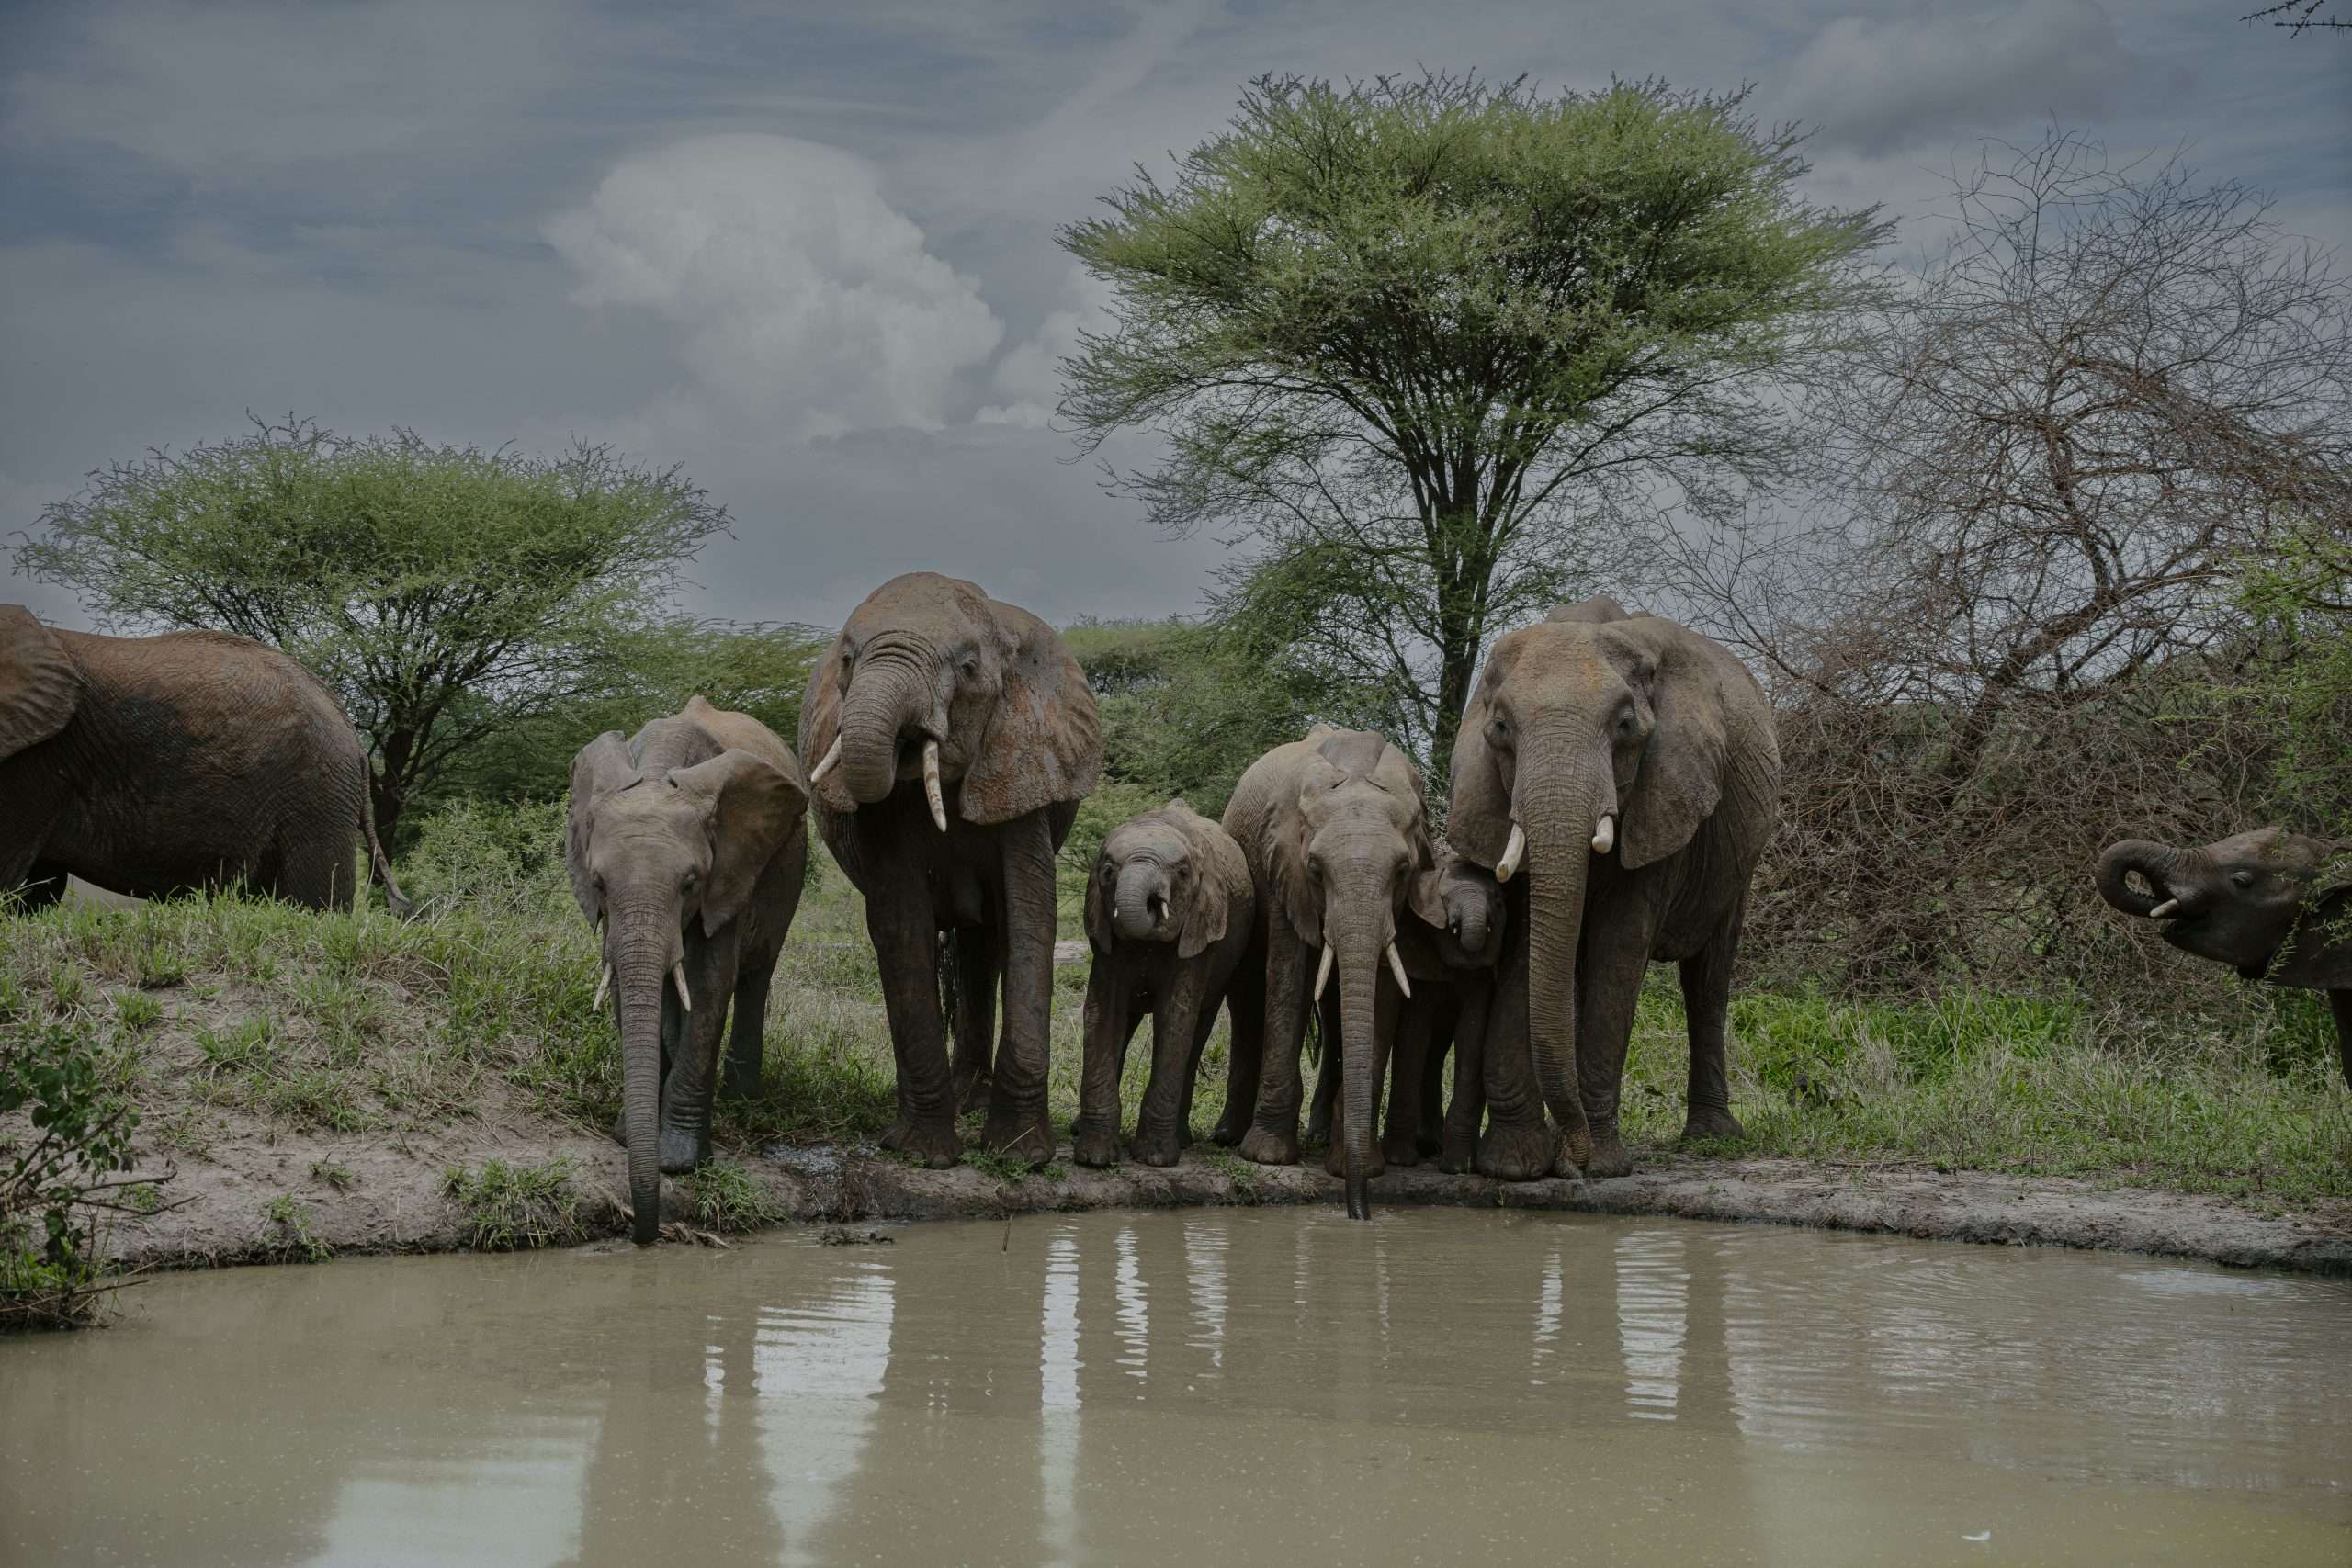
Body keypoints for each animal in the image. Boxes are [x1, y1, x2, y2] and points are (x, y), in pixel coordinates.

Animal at [567, 695, 810, 1244]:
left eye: (690, 883)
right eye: (598, 882)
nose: (645, 1232)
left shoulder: (731, 871)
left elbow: (709, 983)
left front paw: (677, 1161)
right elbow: (627, 984)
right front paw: (630, 1137)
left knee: (756, 975)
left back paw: (742, 1096)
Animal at [799, 572, 1100, 1168]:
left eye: (967, 667)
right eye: (847, 660)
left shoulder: (1023, 761)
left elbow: (1031, 918)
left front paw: (1020, 1156)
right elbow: (901, 922)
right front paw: (925, 1155)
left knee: (985, 945)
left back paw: (973, 1102)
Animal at [1070, 800, 1256, 1168]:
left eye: (1183, 873)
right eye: (1108, 870)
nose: (1153, 904)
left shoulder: (1200, 933)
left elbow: (1175, 1018)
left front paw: (1155, 1159)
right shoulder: (1105, 939)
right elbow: (1103, 1013)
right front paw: (1094, 1158)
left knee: (1197, 1031)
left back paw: (1181, 1141)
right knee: (1127, 1024)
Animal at [1216, 725, 1447, 1218]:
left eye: (1402, 871)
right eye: (1317, 872)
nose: (1358, 1213)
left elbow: (1381, 992)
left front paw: (1359, 1167)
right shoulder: (1283, 869)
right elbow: (1290, 977)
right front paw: (1266, 1156)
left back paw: (1321, 1137)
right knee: (1249, 994)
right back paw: (1230, 1136)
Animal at [1447, 596, 1780, 1180]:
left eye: (1626, 726)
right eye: (1501, 727)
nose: (1571, 1160)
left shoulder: (1664, 792)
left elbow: (1619, 947)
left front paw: (1597, 1165)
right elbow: (1528, 947)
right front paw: (1515, 1166)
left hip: (1738, 863)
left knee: (1707, 979)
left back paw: (1711, 1136)